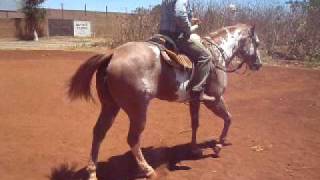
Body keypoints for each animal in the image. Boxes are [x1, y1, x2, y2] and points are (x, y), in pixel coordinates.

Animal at [68, 23, 262, 179]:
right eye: (257, 43)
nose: (258, 64)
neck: (216, 54)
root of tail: (113, 54)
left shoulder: (195, 100)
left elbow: (195, 123)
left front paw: (195, 148)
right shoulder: (214, 99)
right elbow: (229, 118)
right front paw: (218, 146)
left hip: (110, 106)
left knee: (98, 133)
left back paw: (92, 172)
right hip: (138, 110)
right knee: (132, 138)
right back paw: (147, 169)